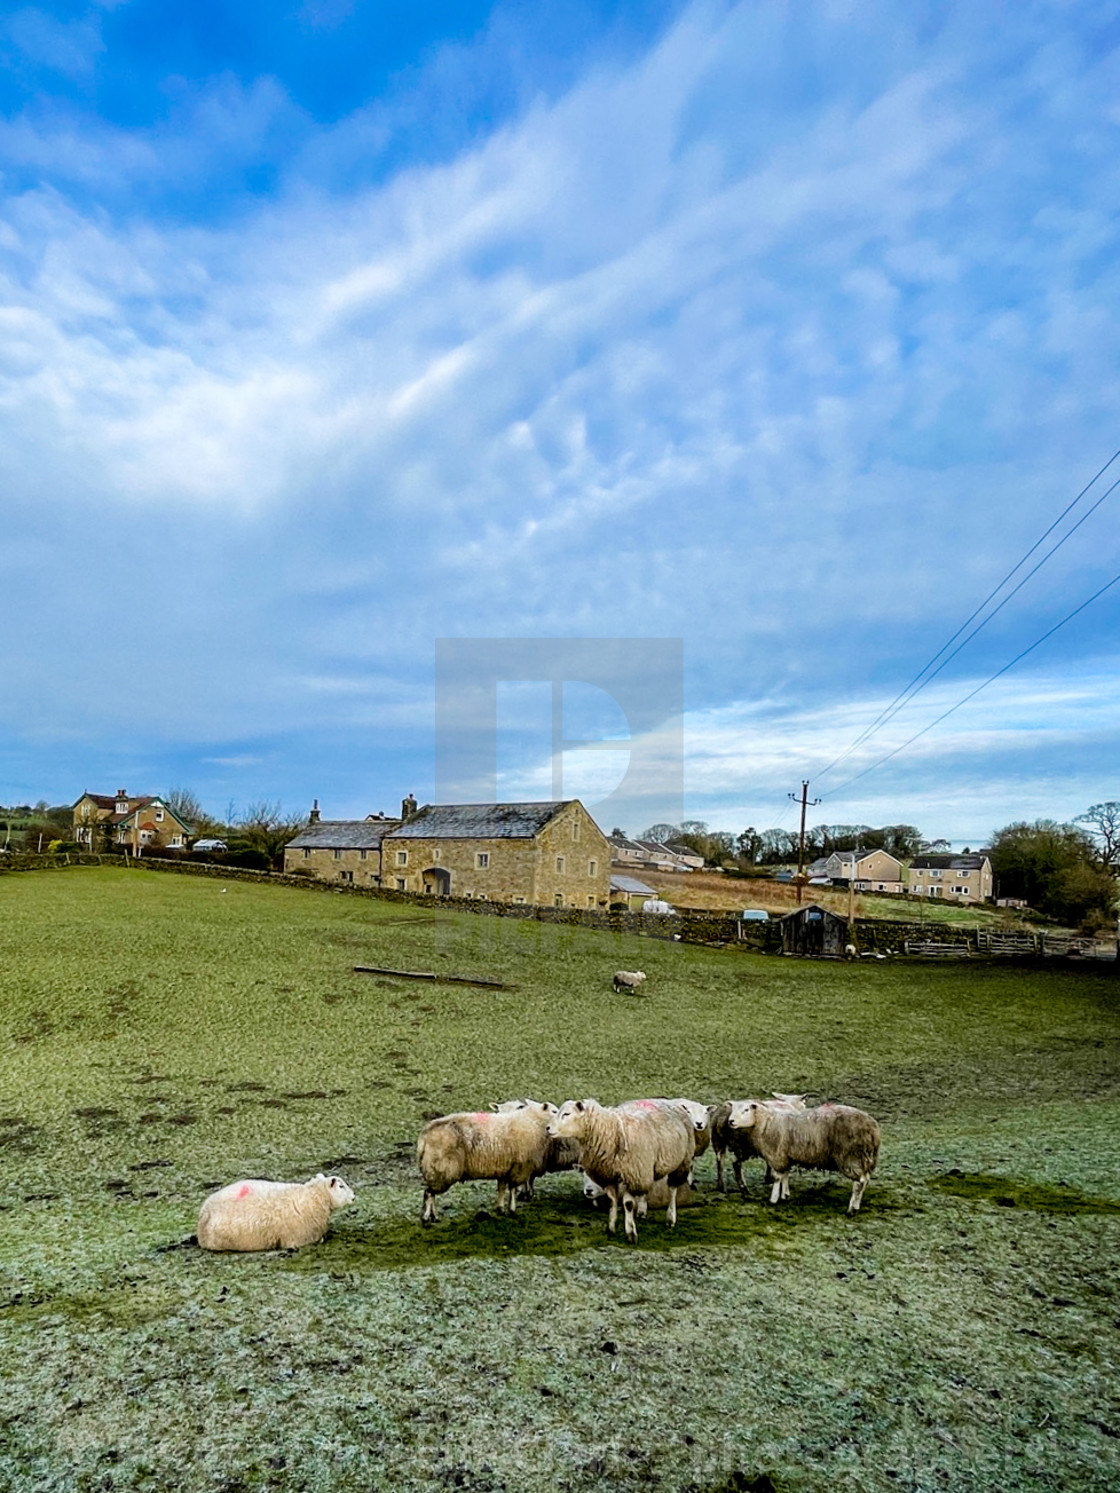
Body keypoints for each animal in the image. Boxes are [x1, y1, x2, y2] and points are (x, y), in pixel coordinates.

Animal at [418, 1098, 558, 1224]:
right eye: (555, 1111)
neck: (532, 1121)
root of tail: (425, 1135)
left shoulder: (505, 1168)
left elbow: (502, 1188)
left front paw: (500, 1209)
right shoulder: (519, 1167)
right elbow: (513, 1189)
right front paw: (512, 1209)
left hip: (435, 1170)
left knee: (430, 1193)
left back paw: (434, 1216)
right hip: (442, 1170)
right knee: (429, 1193)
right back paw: (428, 1216)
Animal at [549, 1092, 698, 1242]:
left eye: (567, 1114)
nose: (547, 1128)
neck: (611, 1131)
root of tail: (674, 1103)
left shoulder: (631, 1174)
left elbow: (628, 1204)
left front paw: (631, 1233)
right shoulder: (610, 1174)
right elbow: (612, 1201)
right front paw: (611, 1228)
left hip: (681, 1161)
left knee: (673, 1189)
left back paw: (670, 1218)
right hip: (645, 1167)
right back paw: (642, 1211)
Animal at [728, 1098, 884, 1212]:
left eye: (746, 1109)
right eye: (733, 1109)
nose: (731, 1121)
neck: (766, 1121)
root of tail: (873, 1128)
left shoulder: (776, 1155)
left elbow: (777, 1177)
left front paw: (773, 1199)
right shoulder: (785, 1156)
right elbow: (785, 1175)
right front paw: (785, 1195)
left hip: (851, 1156)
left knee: (859, 1182)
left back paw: (852, 1208)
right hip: (863, 1158)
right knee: (865, 1180)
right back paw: (857, 1205)